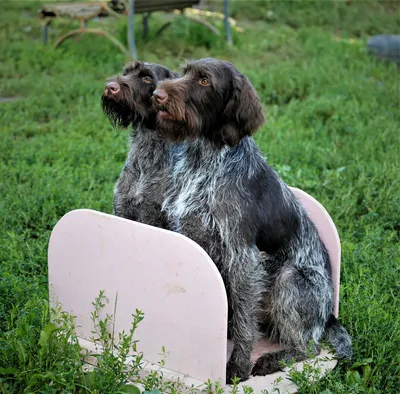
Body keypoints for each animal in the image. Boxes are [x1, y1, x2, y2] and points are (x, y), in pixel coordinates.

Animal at [152, 57, 352, 384]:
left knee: (309, 346)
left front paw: (238, 365)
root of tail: (329, 315)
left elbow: (245, 322)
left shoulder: (242, 256)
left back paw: (273, 359)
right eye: (184, 71)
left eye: (204, 81)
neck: (203, 159)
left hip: (291, 279)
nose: (157, 95)